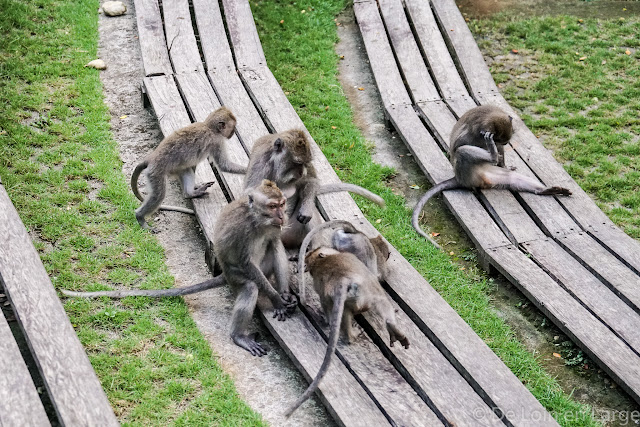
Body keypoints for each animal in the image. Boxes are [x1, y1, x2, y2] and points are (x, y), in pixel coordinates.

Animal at [63, 181, 296, 358]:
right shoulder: (243, 230)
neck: (258, 220)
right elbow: (246, 262)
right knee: (249, 286)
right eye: (273, 206)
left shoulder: (273, 228)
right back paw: (239, 336)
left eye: (282, 204)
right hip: (235, 277)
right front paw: (276, 299)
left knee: (273, 246)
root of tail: (225, 276)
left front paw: (284, 295)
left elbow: (276, 243)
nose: (282, 216)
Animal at [244, 129, 384, 247]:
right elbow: (249, 196)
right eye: (298, 163)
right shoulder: (261, 163)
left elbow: (311, 181)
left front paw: (306, 209)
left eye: (305, 163)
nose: (301, 173)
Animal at [284, 247, 410, 418]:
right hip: (367, 289)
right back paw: (360, 334)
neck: (323, 261)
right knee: (380, 299)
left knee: (343, 310)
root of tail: (343, 280)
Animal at [412, 105, 572, 249]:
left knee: (512, 178)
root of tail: (458, 178)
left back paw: (545, 190)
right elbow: (458, 146)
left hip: (493, 175)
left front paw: (504, 162)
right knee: (461, 151)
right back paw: (493, 156)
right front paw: (493, 150)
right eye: (499, 138)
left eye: (504, 139)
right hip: (465, 170)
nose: (502, 143)